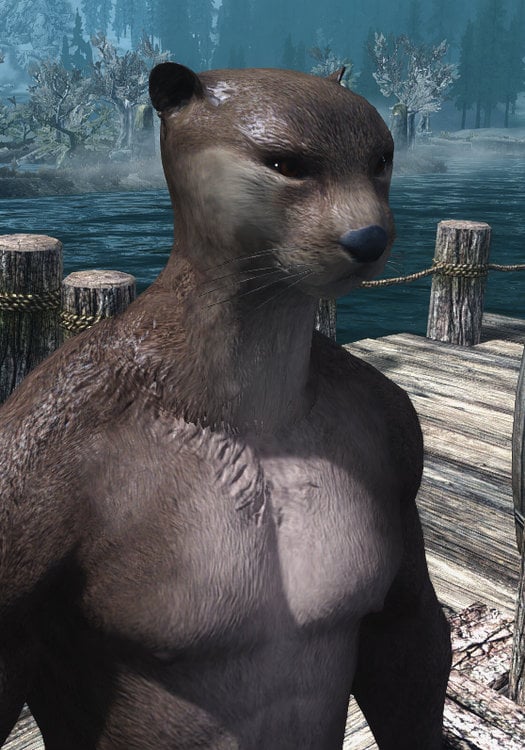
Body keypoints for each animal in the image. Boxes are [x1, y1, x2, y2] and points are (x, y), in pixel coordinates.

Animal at [0, 63, 451, 749]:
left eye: (381, 159)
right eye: (287, 163)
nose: (368, 237)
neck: (247, 412)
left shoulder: (395, 429)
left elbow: (406, 621)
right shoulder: (33, 458)